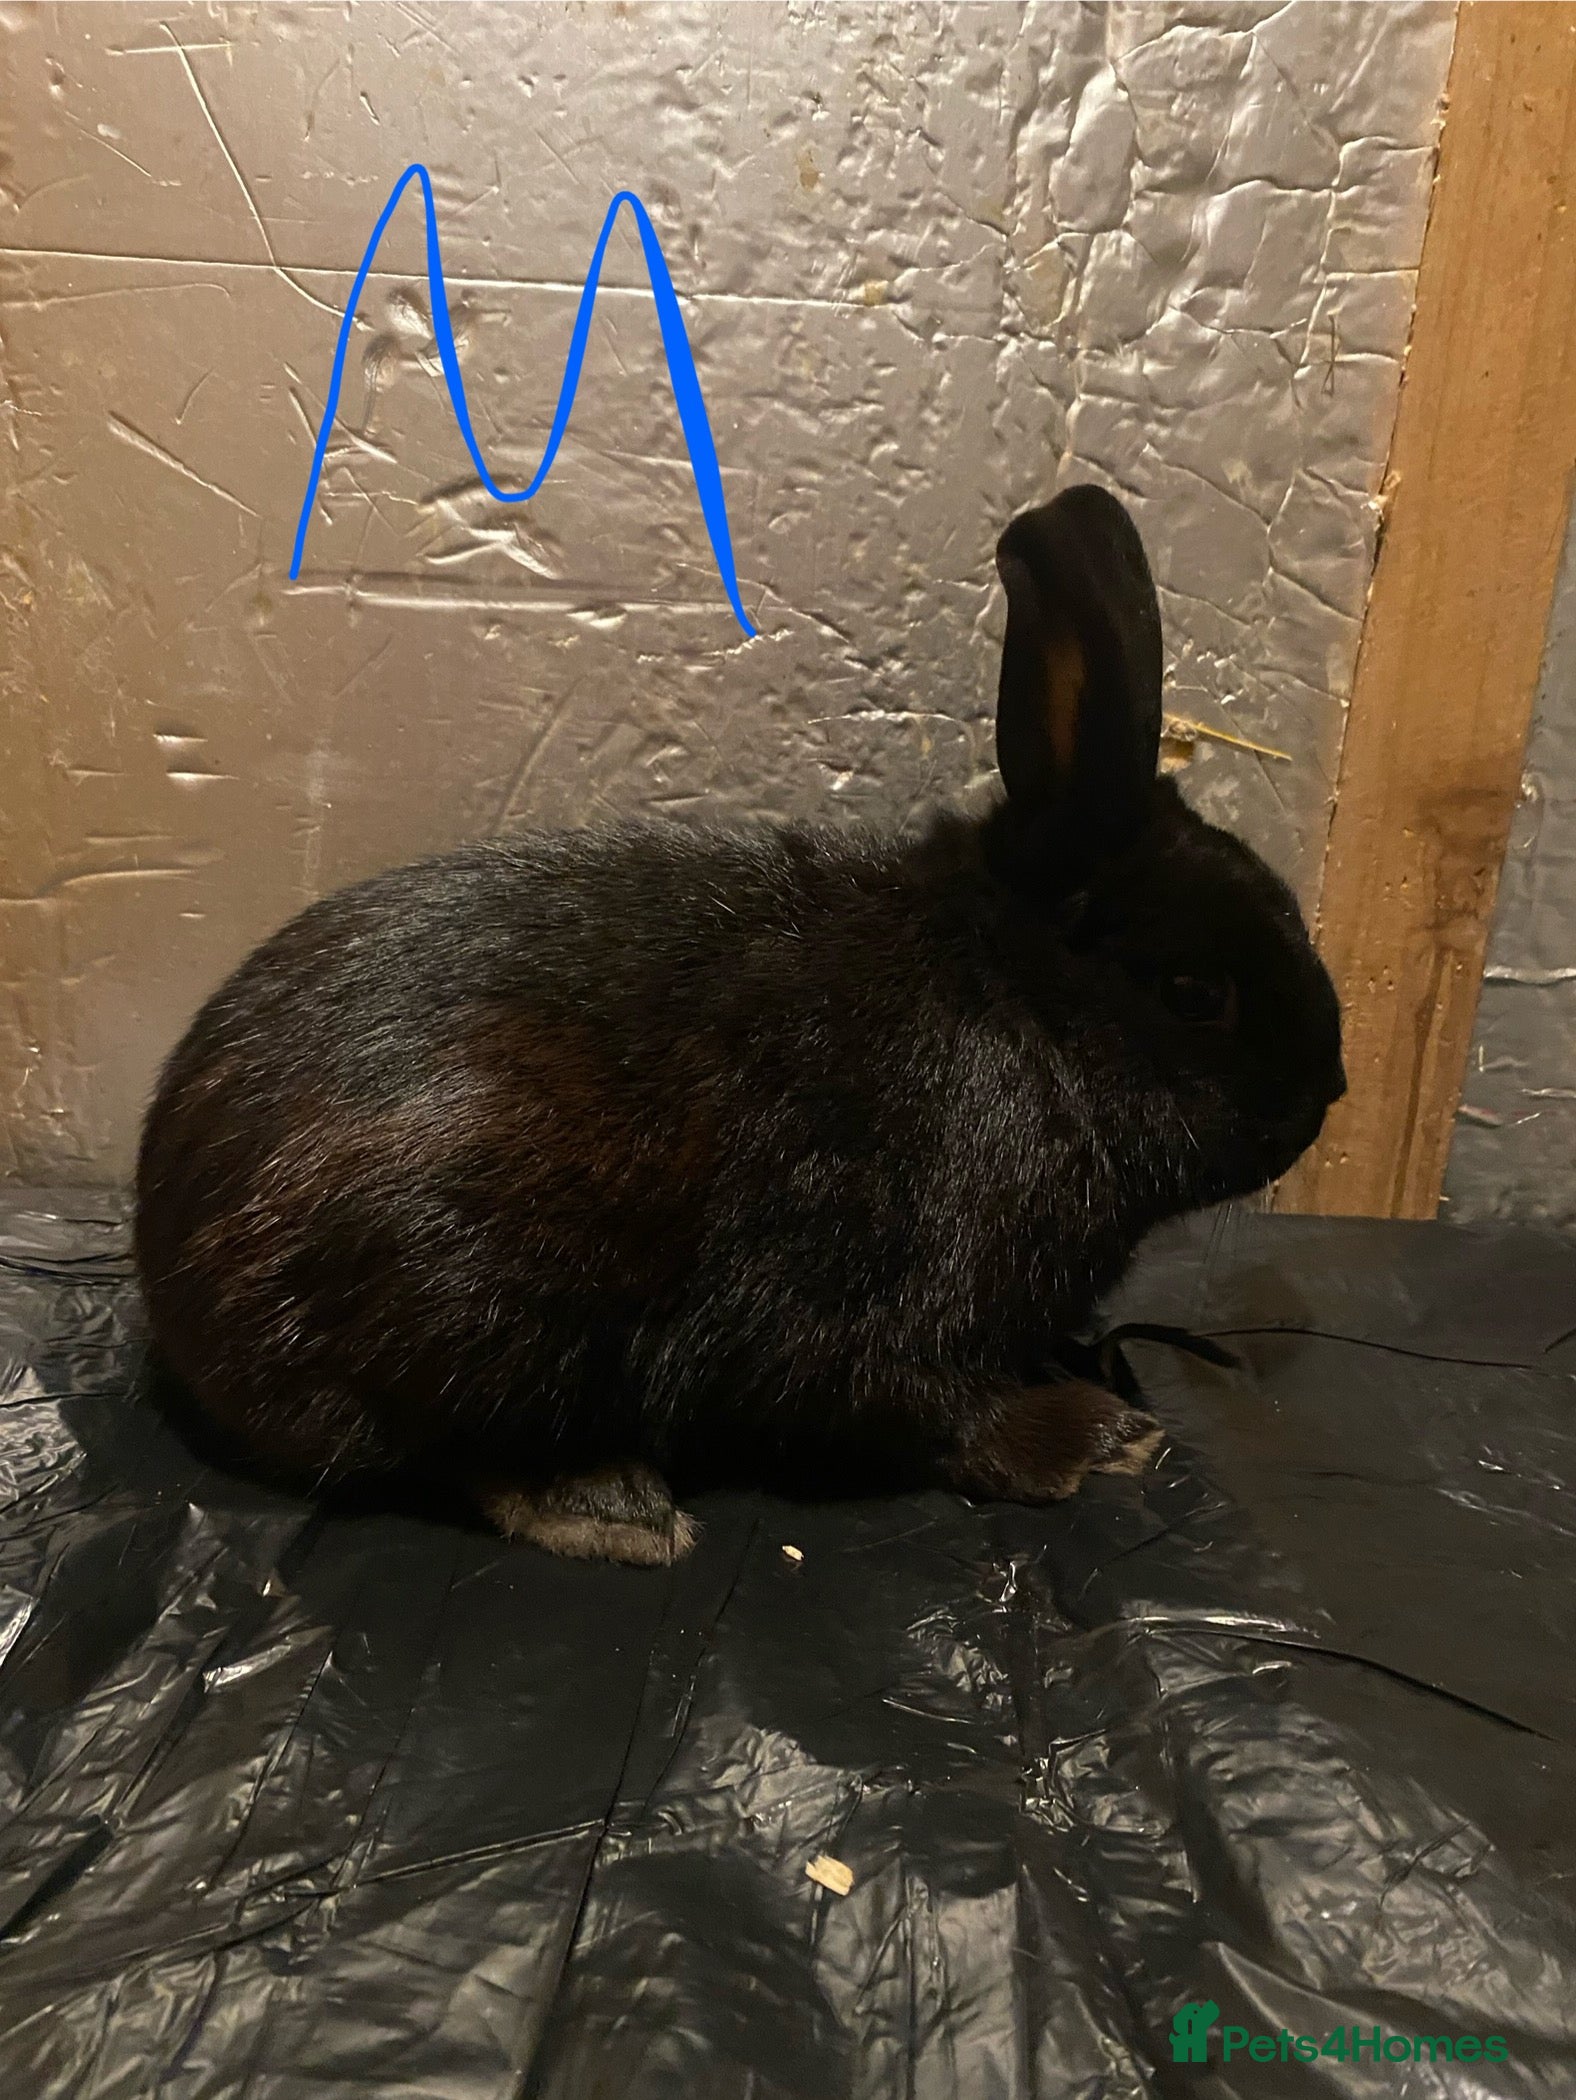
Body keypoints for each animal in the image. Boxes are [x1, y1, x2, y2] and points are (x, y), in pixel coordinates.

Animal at [135, 485, 1345, 1565]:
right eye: (1195, 993)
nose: (1322, 1098)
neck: (1015, 1006)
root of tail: (166, 1275)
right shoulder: (890, 1297)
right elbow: (925, 1405)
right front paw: (1098, 1440)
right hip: (468, 1301)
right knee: (448, 1448)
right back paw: (613, 1508)